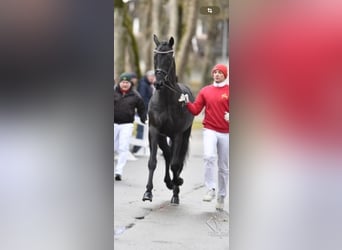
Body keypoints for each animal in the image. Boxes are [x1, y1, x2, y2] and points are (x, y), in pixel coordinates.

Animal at [142, 34, 194, 204]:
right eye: (155, 56)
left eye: (169, 57)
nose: (157, 83)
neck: (166, 99)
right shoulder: (154, 131)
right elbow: (153, 162)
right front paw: (148, 192)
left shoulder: (177, 134)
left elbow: (176, 164)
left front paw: (177, 183)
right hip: (162, 136)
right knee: (167, 154)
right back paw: (169, 182)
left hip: (184, 135)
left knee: (176, 159)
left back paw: (175, 189)